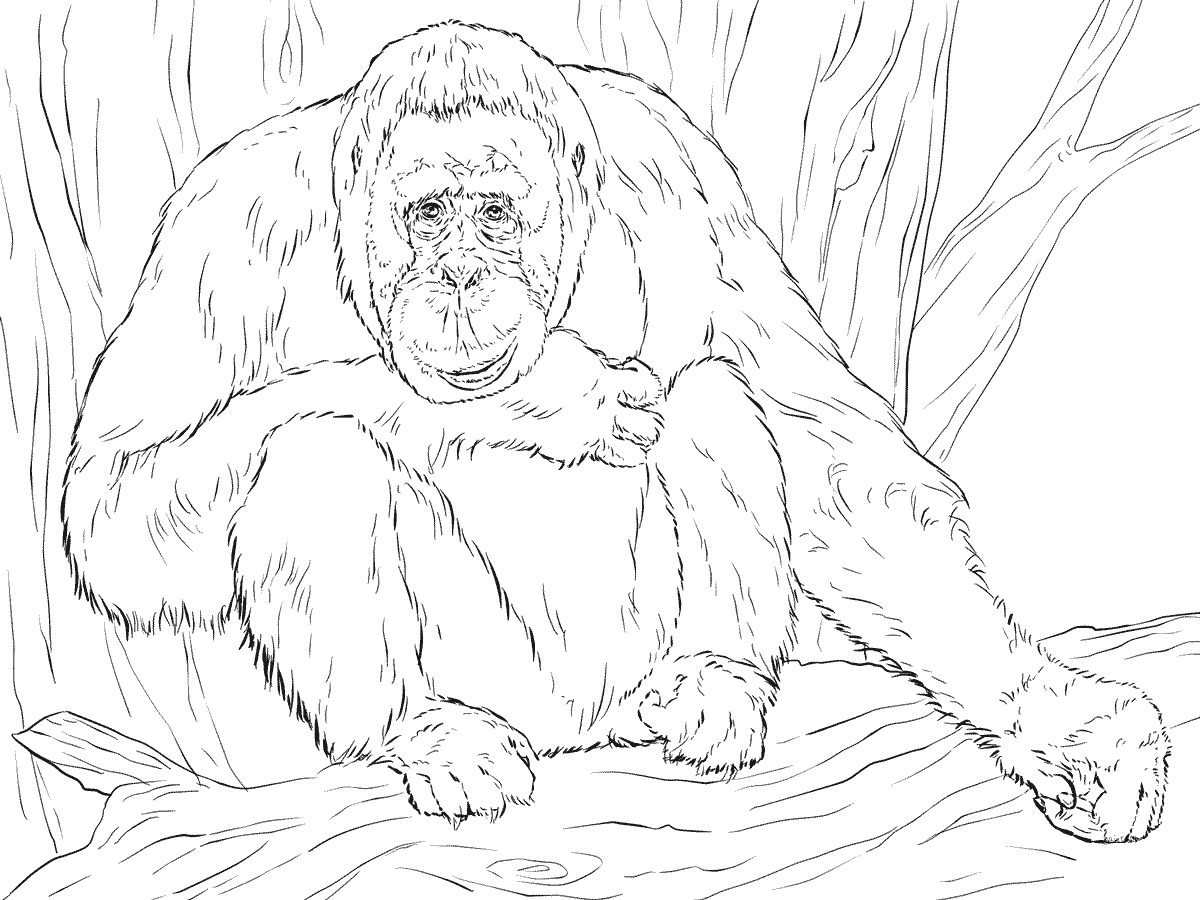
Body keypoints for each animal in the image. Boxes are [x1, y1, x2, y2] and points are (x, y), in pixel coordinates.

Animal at [63, 22, 1168, 842]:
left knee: (714, 388)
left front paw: (1061, 720)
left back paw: (714, 680)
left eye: (493, 216)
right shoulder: (226, 223)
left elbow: (834, 462)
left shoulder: (675, 167)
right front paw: (548, 395)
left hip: (626, 662)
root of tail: (579, 730)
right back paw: (424, 729)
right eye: (428, 215)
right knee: (311, 446)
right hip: (507, 685)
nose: (459, 276)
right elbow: (118, 502)